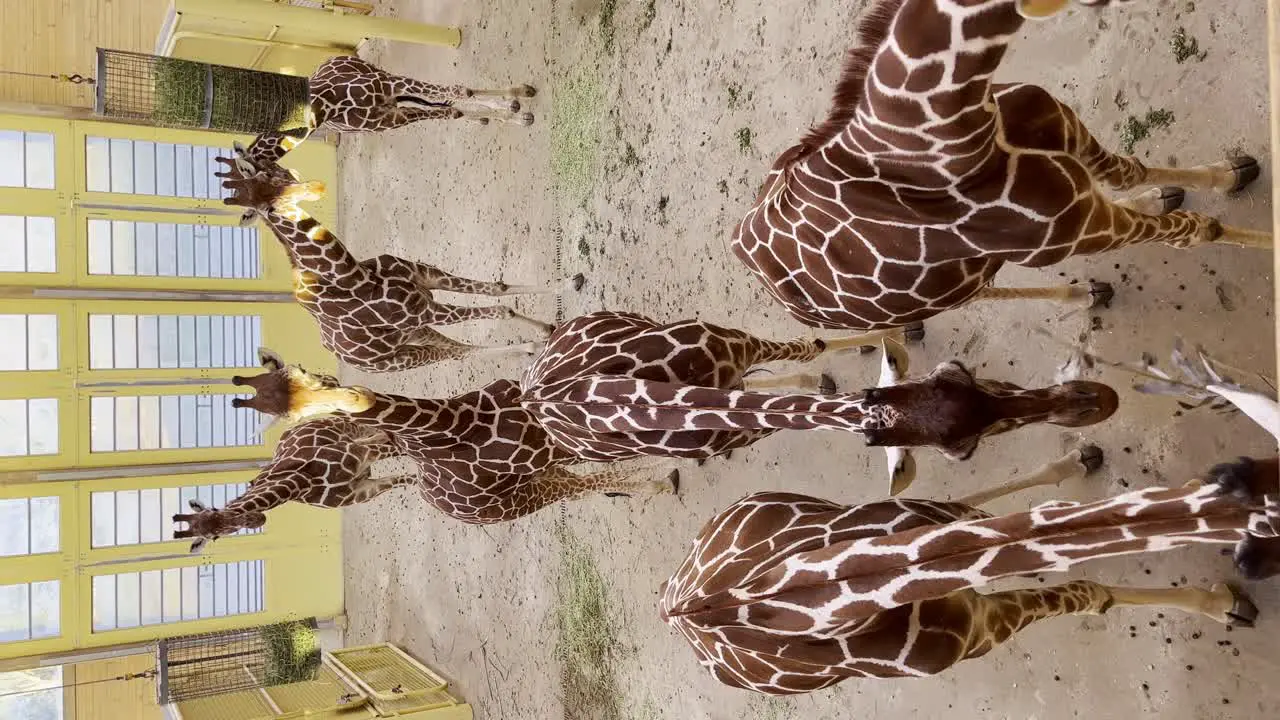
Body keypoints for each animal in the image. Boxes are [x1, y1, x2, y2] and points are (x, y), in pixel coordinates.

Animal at [199, 345, 680, 525]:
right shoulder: (540, 465)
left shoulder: (547, 445)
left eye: (304, 373)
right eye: (283, 407)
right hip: (512, 502)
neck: (460, 427)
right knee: (578, 483)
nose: (348, 401)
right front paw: (661, 477)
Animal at [215, 155, 586, 368]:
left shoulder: (427, 281)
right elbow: (501, 310)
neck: (356, 276)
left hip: (415, 335)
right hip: (401, 357)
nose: (307, 186)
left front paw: (569, 285)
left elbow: (498, 288)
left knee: (456, 349)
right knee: (454, 354)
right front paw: (547, 329)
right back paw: (533, 346)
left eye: (270, 169)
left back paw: (532, 346)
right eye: (266, 205)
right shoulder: (428, 309)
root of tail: (340, 353)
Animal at [514, 304, 1116, 489]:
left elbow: (812, 344)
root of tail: (529, 388)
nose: (1094, 400)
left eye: (961, 370)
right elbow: (811, 354)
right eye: (961, 452)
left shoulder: (739, 343)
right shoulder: (750, 430)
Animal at [660, 450, 1280, 691]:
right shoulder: (986, 629)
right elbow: (1088, 591)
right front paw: (1225, 605)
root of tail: (667, 592)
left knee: (969, 499)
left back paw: (1077, 459)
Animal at [732, 0, 1269, 330]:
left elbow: (1130, 172)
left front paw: (1228, 174)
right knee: (978, 296)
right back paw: (1087, 294)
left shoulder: (1072, 133)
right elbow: (1199, 231)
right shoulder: (1079, 233)